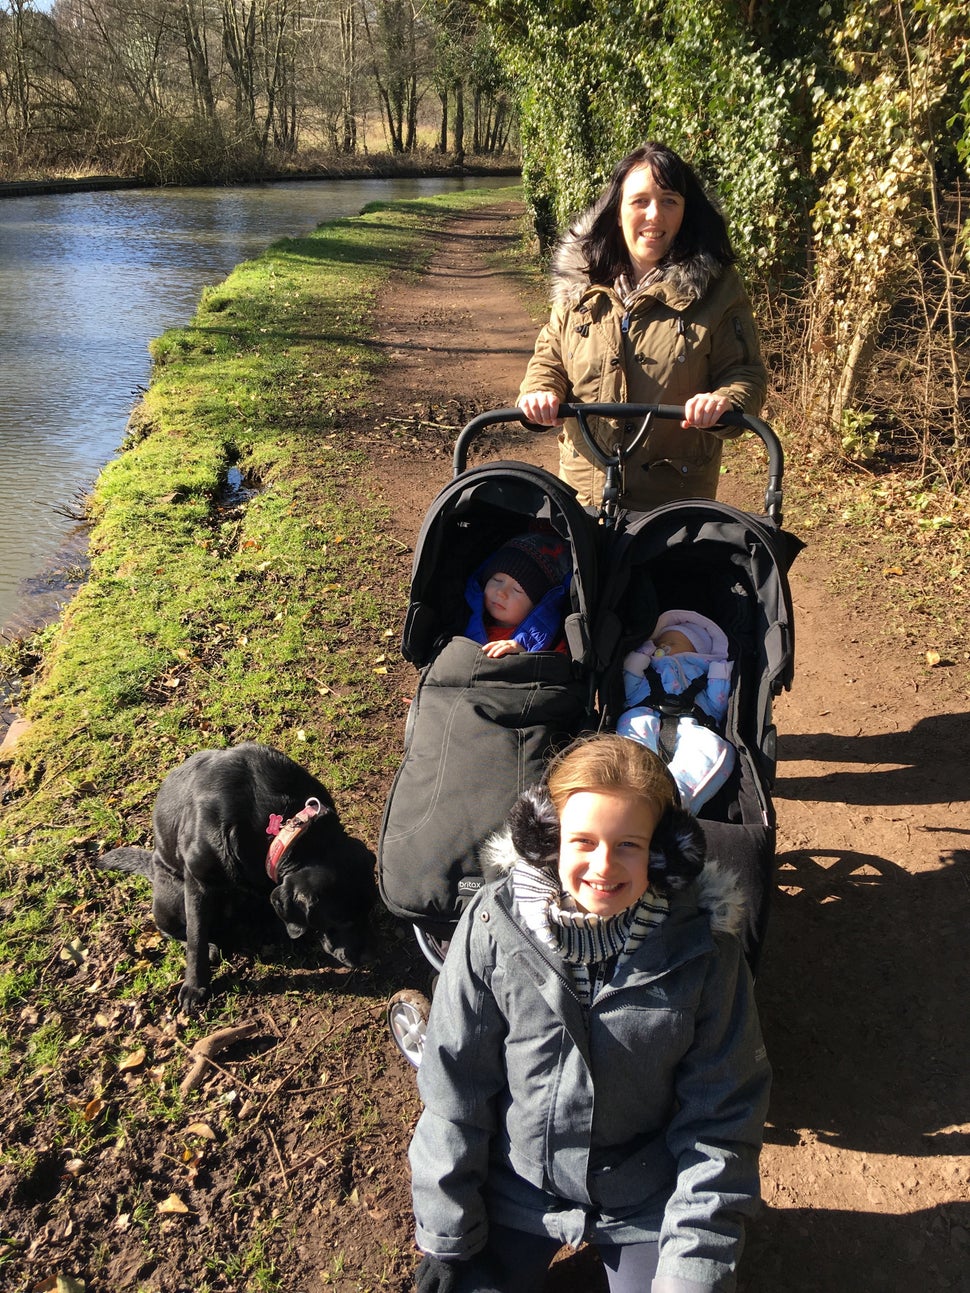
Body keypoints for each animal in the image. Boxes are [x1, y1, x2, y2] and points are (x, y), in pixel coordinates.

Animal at [95, 749, 375, 1008]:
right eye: (340, 921)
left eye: (368, 912)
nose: (366, 958)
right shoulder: (197, 882)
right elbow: (196, 936)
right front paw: (195, 985)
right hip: (170, 896)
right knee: (172, 929)